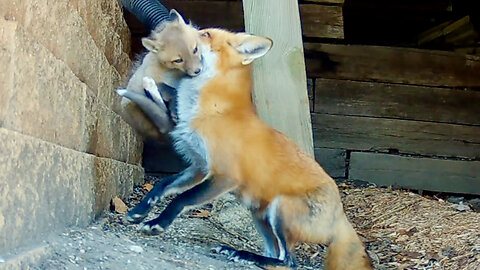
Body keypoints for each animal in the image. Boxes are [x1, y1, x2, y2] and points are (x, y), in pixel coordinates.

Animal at [118, 28, 374, 268]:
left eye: (205, 34)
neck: (213, 110)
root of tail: (340, 214)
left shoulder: (225, 176)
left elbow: (181, 199)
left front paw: (157, 224)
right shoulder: (200, 167)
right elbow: (162, 185)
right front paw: (140, 210)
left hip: (280, 210)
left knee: (288, 261)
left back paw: (246, 256)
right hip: (259, 216)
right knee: (275, 253)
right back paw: (239, 254)